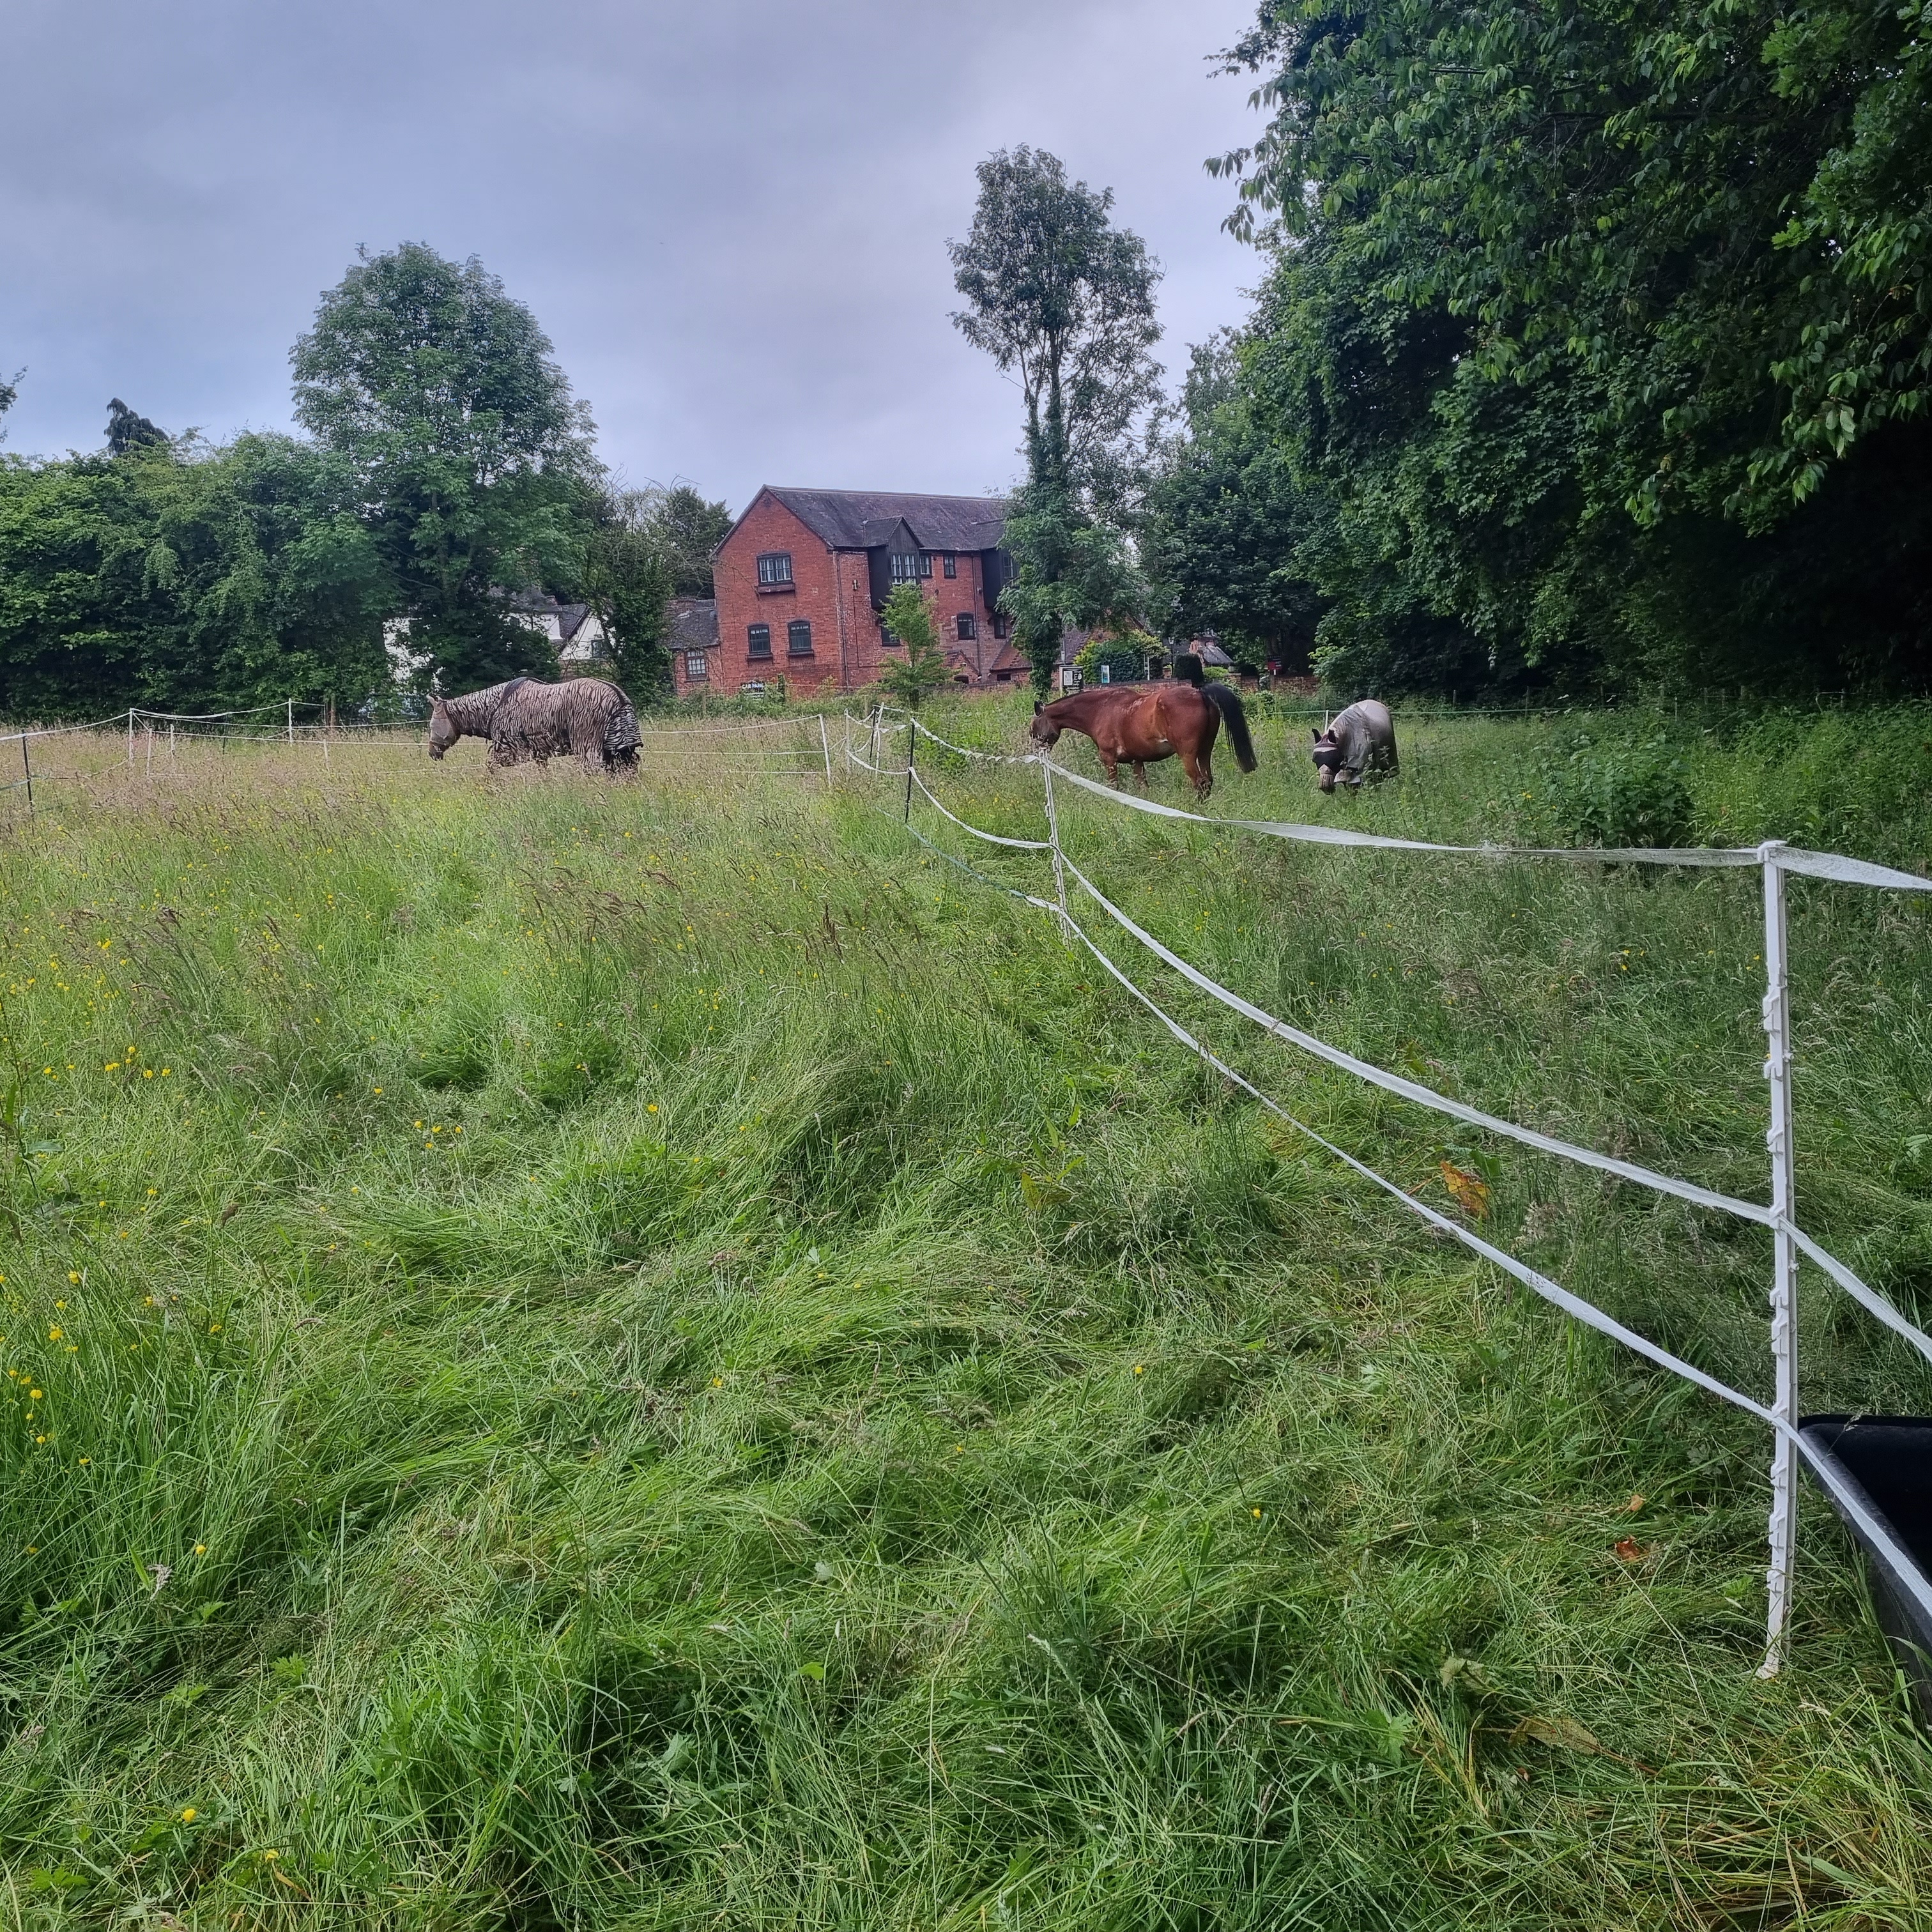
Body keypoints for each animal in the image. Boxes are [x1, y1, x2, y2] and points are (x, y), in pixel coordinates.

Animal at [1027, 680, 1252, 799]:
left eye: (1033, 728)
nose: (1037, 753)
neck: (1100, 710)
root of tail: (1200, 693)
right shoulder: (1137, 761)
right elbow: (1143, 789)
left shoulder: (1109, 760)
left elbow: (1114, 787)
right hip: (1205, 751)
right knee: (1208, 781)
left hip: (1188, 756)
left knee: (1200, 782)